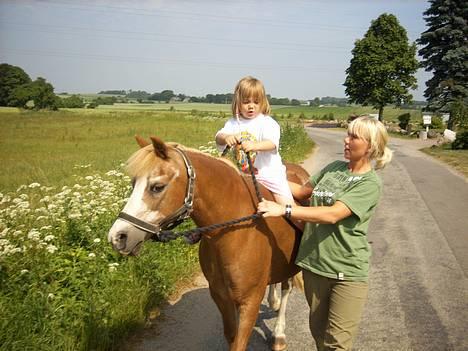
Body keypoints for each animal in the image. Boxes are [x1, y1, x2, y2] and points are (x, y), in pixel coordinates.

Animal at [108, 138, 308, 351]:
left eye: (157, 187)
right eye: (133, 183)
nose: (118, 237)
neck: (232, 232)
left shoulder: (250, 301)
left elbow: (239, 342)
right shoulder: (221, 297)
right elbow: (231, 336)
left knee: (287, 287)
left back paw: (279, 334)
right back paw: (273, 301)